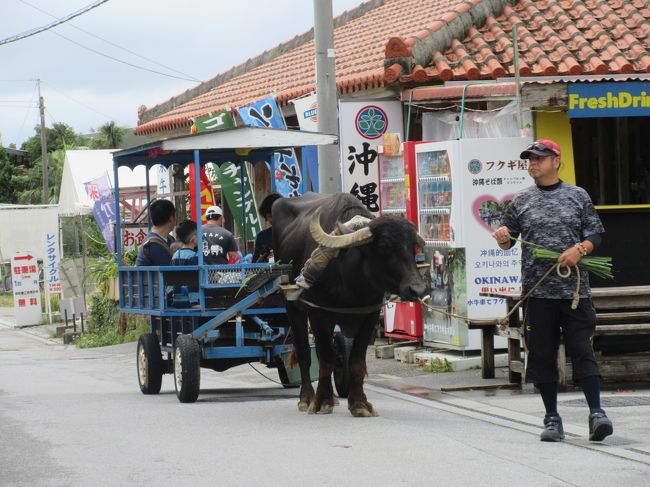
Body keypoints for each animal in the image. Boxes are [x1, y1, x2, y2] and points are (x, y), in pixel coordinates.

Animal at [272, 193, 428, 418]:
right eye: (384, 247)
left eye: (412, 247)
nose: (417, 289)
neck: (351, 280)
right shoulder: (318, 313)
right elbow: (326, 358)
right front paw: (322, 402)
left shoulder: (370, 314)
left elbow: (356, 361)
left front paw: (359, 404)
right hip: (292, 306)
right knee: (304, 352)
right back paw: (307, 398)